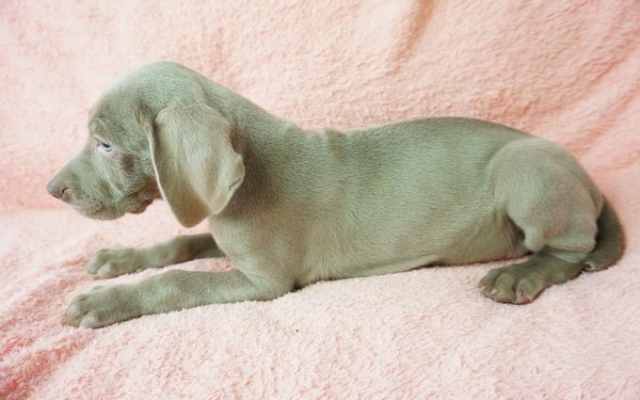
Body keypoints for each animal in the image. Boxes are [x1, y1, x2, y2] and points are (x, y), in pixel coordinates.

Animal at [47, 62, 624, 328]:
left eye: (103, 143)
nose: (52, 190)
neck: (251, 171)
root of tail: (590, 180)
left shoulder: (265, 282)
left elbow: (177, 281)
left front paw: (106, 300)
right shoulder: (219, 225)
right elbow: (181, 244)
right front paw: (118, 259)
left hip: (524, 169)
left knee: (570, 251)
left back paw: (518, 275)